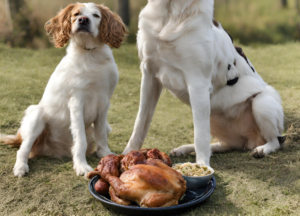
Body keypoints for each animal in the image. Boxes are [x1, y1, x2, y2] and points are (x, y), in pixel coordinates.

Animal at [0, 2, 126, 177]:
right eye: (76, 14)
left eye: (96, 15)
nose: (83, 20)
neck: (90, 55)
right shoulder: (77, 101)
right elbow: (80, 138)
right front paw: (81, 166)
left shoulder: (104, 102)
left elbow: (100, 135)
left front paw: (106, 155)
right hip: (36, 114)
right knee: (23, 149)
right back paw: (20, 167)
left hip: (107, 125)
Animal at [122, 0, 216, 165]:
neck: (171, 13)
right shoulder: (149, 74)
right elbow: (141, 120)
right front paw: (128, 152)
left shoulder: (198, 81)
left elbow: (201, 132)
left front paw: (202, 165)